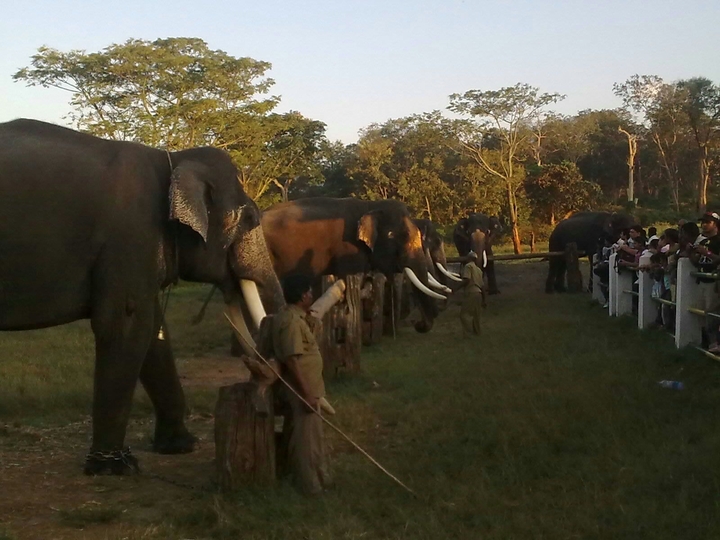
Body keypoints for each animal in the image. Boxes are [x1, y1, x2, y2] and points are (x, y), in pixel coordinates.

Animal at [0, 119, 284, 475]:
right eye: (249, 220)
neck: (173, 160)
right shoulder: (129, 237)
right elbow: (125, 325)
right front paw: (114, 468)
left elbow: (153, 330)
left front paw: (181, 446)